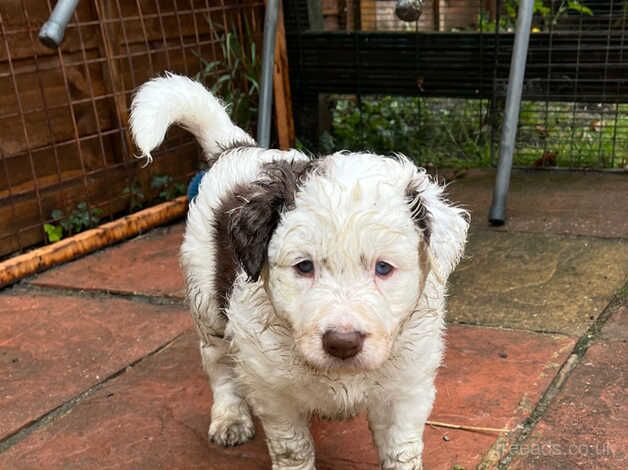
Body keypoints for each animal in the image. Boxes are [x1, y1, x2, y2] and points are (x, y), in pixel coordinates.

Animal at [130, 74, 468, 470]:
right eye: (304, 266)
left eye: (383, 268)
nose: (342, 342)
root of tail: (235, 149)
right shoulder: (272, 390)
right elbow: (292, 448)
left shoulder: (407, 386)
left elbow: (401, 450)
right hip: (206, 299)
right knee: (218, 363)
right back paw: (230, 418)